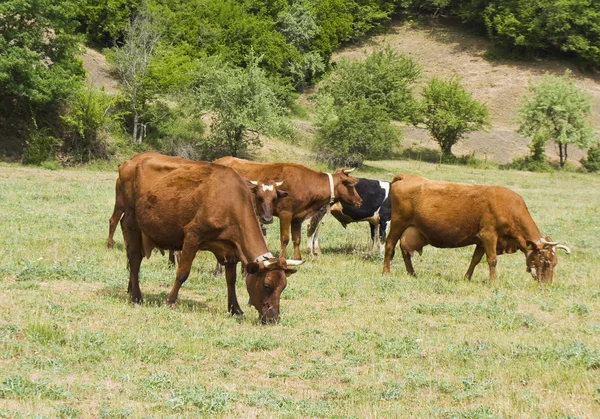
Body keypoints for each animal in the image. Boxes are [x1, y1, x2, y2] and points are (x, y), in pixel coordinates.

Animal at [119, 153, 302, 324]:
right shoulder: (192, 237)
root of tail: (133, 160)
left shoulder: (230, 248)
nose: (274, 318)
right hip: (131, 221)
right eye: (266, 285)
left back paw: (131, 288)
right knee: (134, 259)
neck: (229, 201)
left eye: (283, 287)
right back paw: (136, 296)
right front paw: (170, 301)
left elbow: (231, 279)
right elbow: (182, 273)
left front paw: (235, 309)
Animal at [213, 157, 364, 260]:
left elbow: (296, 239)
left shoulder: (297, 218)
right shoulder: (285, 213)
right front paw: (282, 258)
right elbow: (285, 238)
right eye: (350, 184)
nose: (360, 201)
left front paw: (298, 259)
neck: (306, 183)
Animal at [382, 174, 568, 282]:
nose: (546, 285)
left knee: (405, 251)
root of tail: (407, 177)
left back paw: (412, 273)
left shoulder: (481, 241)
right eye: (546, 261)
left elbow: (475, 260)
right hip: (398, 223)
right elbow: (492, 260)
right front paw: (493, 282)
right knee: (390, 246)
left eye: (555, 263)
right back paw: (386, 272)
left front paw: (467, 278)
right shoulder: (489, 235)